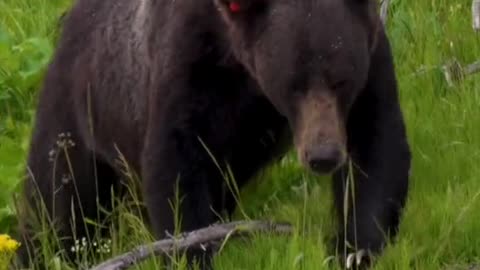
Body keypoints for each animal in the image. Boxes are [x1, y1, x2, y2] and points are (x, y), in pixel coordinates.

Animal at [16, 0, 410, 268]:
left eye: (341, 80)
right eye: (292, 85)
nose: (323, 154)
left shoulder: (372, 59)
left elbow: (376, 148)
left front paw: (354, 248)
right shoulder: (191, 64)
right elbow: (177, 164)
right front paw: (194, 251)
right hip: (80, 111)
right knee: (58, 206)